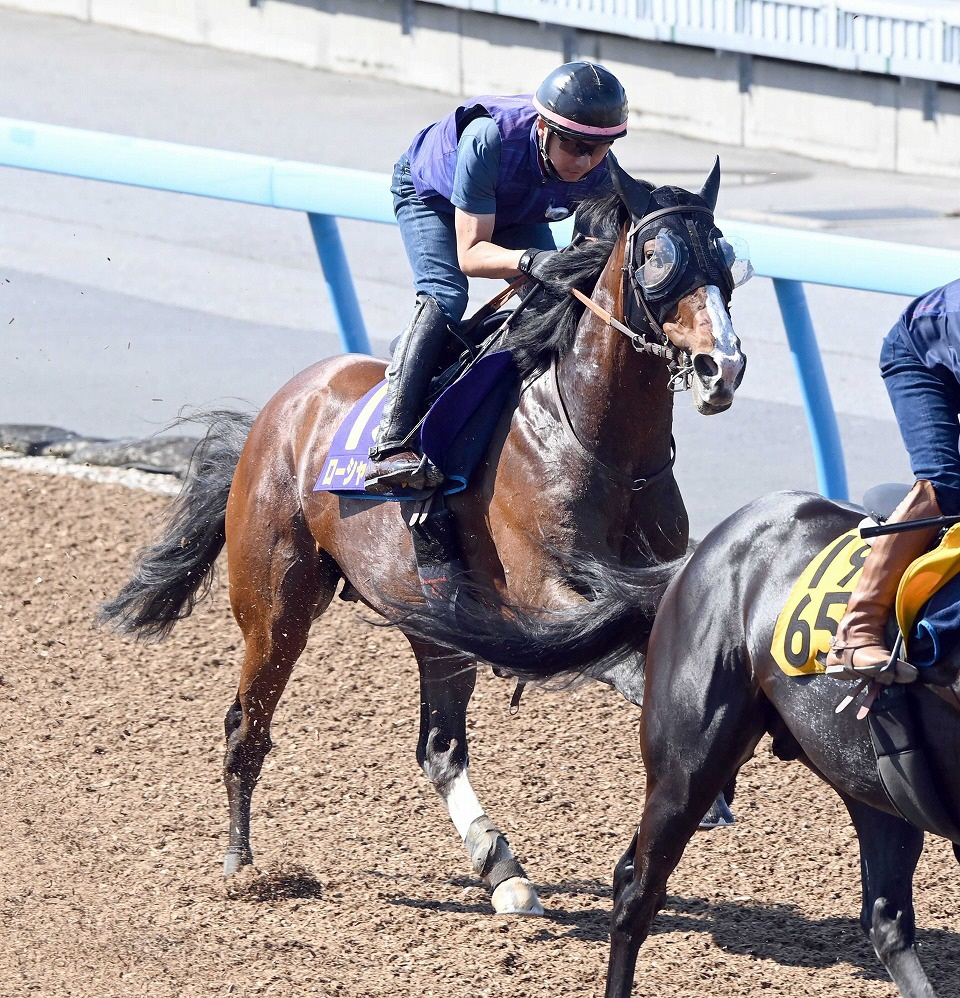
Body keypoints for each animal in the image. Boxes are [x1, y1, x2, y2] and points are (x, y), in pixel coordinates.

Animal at [97, 160, 748, 916]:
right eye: (659, 257)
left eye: (726, 257)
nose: (723, 366)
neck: (601, 444)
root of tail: (278, 408)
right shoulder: (544, 597)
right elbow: (627, 665)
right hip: (277, 605)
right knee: (247, 727)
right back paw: (243, 865)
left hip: (438, 619)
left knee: (439, 747)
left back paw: (504, 871)